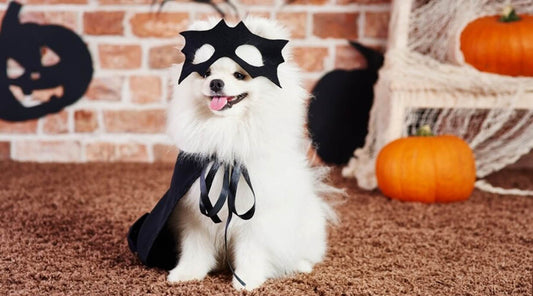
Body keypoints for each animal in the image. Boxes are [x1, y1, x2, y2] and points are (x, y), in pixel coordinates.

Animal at [166, 17, 334, 290]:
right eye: (206, 73)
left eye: (239, 75)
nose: (215, 83)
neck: (226, 133)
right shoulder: (196, 214)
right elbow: (195, 248)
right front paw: (186, 274)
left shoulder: (256, 218)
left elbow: (251, 251)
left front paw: (247, 280)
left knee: (306, 253)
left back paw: (301, 265)